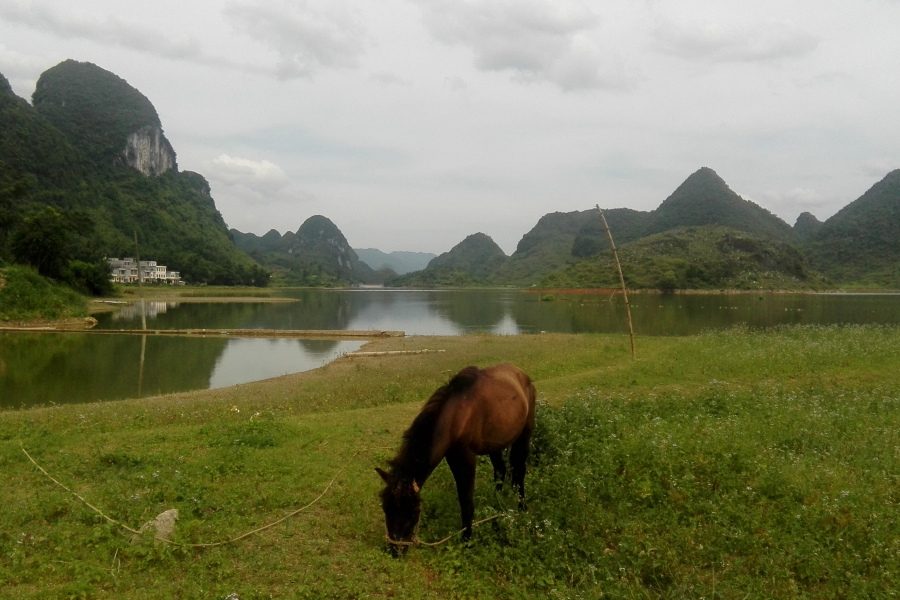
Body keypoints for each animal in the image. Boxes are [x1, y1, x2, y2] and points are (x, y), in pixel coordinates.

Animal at [378, 364, 536, 552]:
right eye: (386, 508)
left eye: (412, 511)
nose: (396, 550)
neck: (456, 417)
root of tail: (521, 374)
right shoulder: (452, 457)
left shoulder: (466, 458)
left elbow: (466, 501)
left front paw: (467, 540)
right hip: (494, 444)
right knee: (500, 471)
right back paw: (497, 504)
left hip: (524, 434)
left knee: (519, 471)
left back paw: (522, 507)